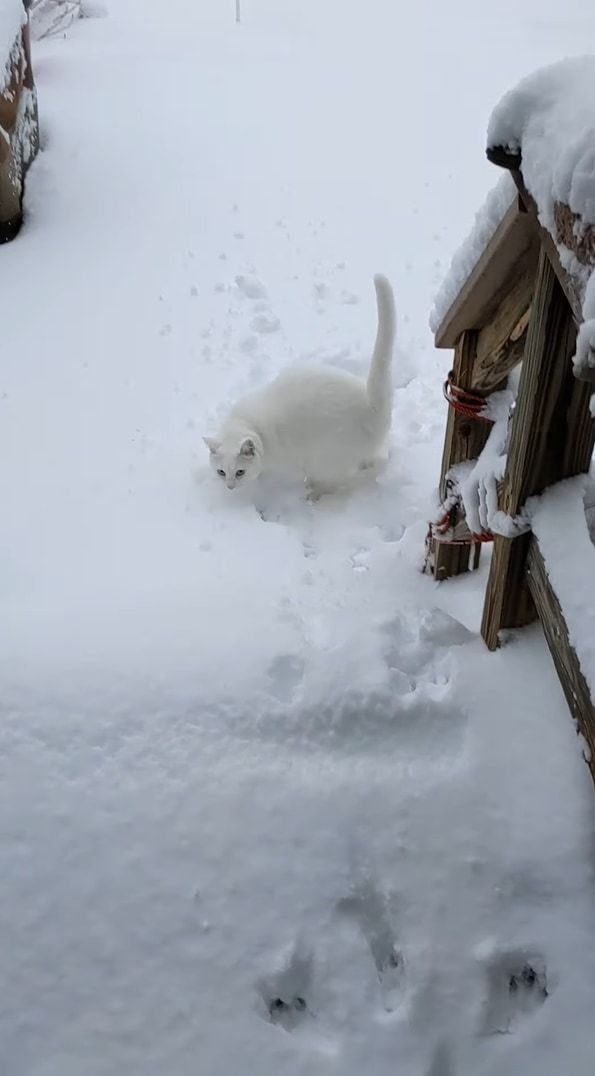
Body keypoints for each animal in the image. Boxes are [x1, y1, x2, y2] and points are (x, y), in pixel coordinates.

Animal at [204, 275, 393, 497]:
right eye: (221, 472)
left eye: (240, 472)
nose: (230, 486)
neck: (250, 424)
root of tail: (370, 405)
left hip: (322, 460)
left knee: (343, 480)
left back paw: (315, 492)